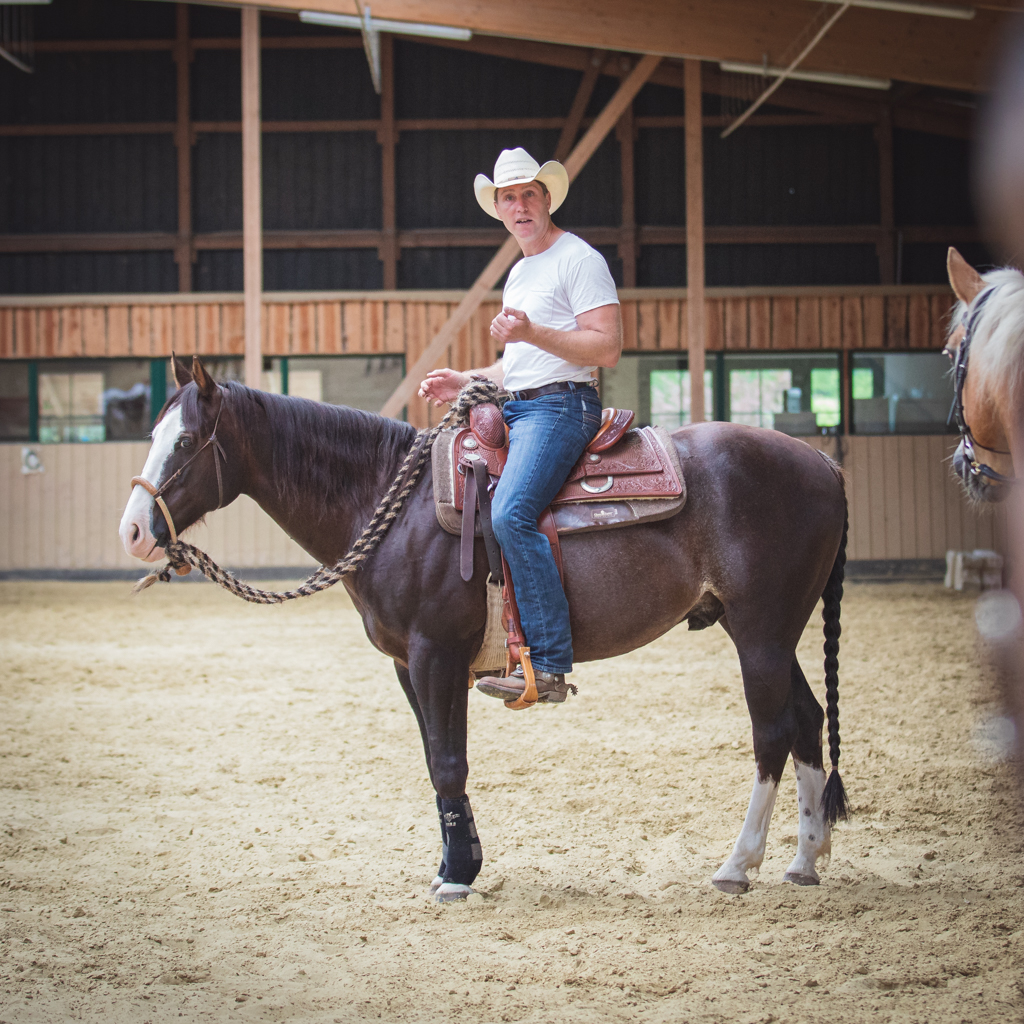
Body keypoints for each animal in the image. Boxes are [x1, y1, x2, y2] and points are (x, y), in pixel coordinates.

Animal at [121, 356, 847, 901]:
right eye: (153, 435)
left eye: (184, 441)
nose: (131, 531)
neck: (393, 504)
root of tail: (824, 464)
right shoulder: (408, 664)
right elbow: (438, 761)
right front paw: (457, 862)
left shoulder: (436, 654)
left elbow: (448, 762)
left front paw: (456, 876)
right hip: (772, 632)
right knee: (807, 719)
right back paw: (805, 860)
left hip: (759, 631)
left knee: (772, 732)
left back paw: (738, 865)